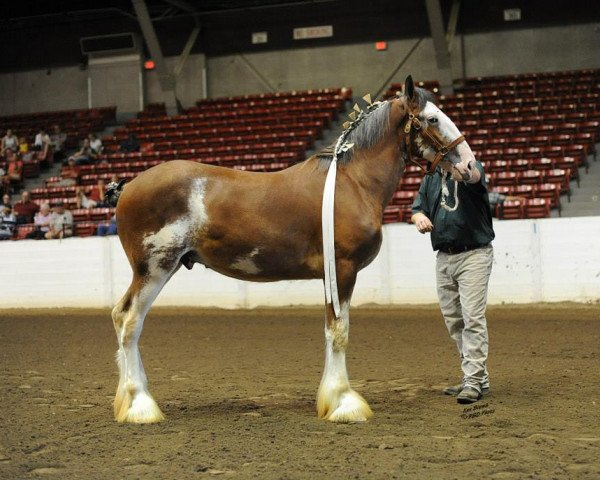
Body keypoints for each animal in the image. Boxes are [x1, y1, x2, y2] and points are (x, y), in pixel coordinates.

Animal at [109, 75, 478, 424]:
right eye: (432, 118)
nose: (471, 167)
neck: (352, 182)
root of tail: (128, 186)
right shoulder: (343, 269)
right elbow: (339, 332)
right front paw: (345, 404)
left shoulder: (332, 275)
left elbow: (331, 331)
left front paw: (330, 400)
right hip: (154, 270)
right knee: (129, 322)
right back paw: (140, 406)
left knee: (121, 317)